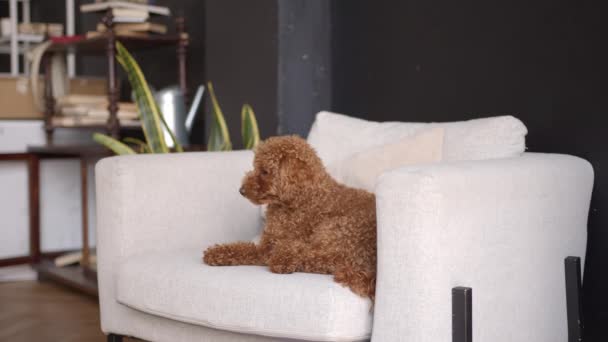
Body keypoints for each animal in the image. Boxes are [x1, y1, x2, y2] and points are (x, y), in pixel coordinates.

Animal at [204, 136, 376, 300]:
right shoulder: (266, 244)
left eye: (265, 171)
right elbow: (241, 249)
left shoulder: (274, 245)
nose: (241, 190)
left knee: (327, 259)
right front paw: (215, 253)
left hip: (337, 228)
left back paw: (283, 261)